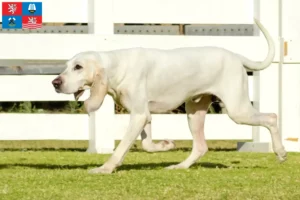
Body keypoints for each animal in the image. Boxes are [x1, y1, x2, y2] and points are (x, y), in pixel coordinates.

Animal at [51, 18, 286, 173]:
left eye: (78, 67)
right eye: (67, 66)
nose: (55, 83)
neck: (117, 66)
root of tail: (237, 56)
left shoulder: (138, 115)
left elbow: (121, 148)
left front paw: (105, 168)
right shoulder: (143, 114)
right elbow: (147, 145)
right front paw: (166, 146)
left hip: (237, 110)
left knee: (272, 117)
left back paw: (281, 151)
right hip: (194, 113)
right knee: (201, 147)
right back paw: (180, 166)